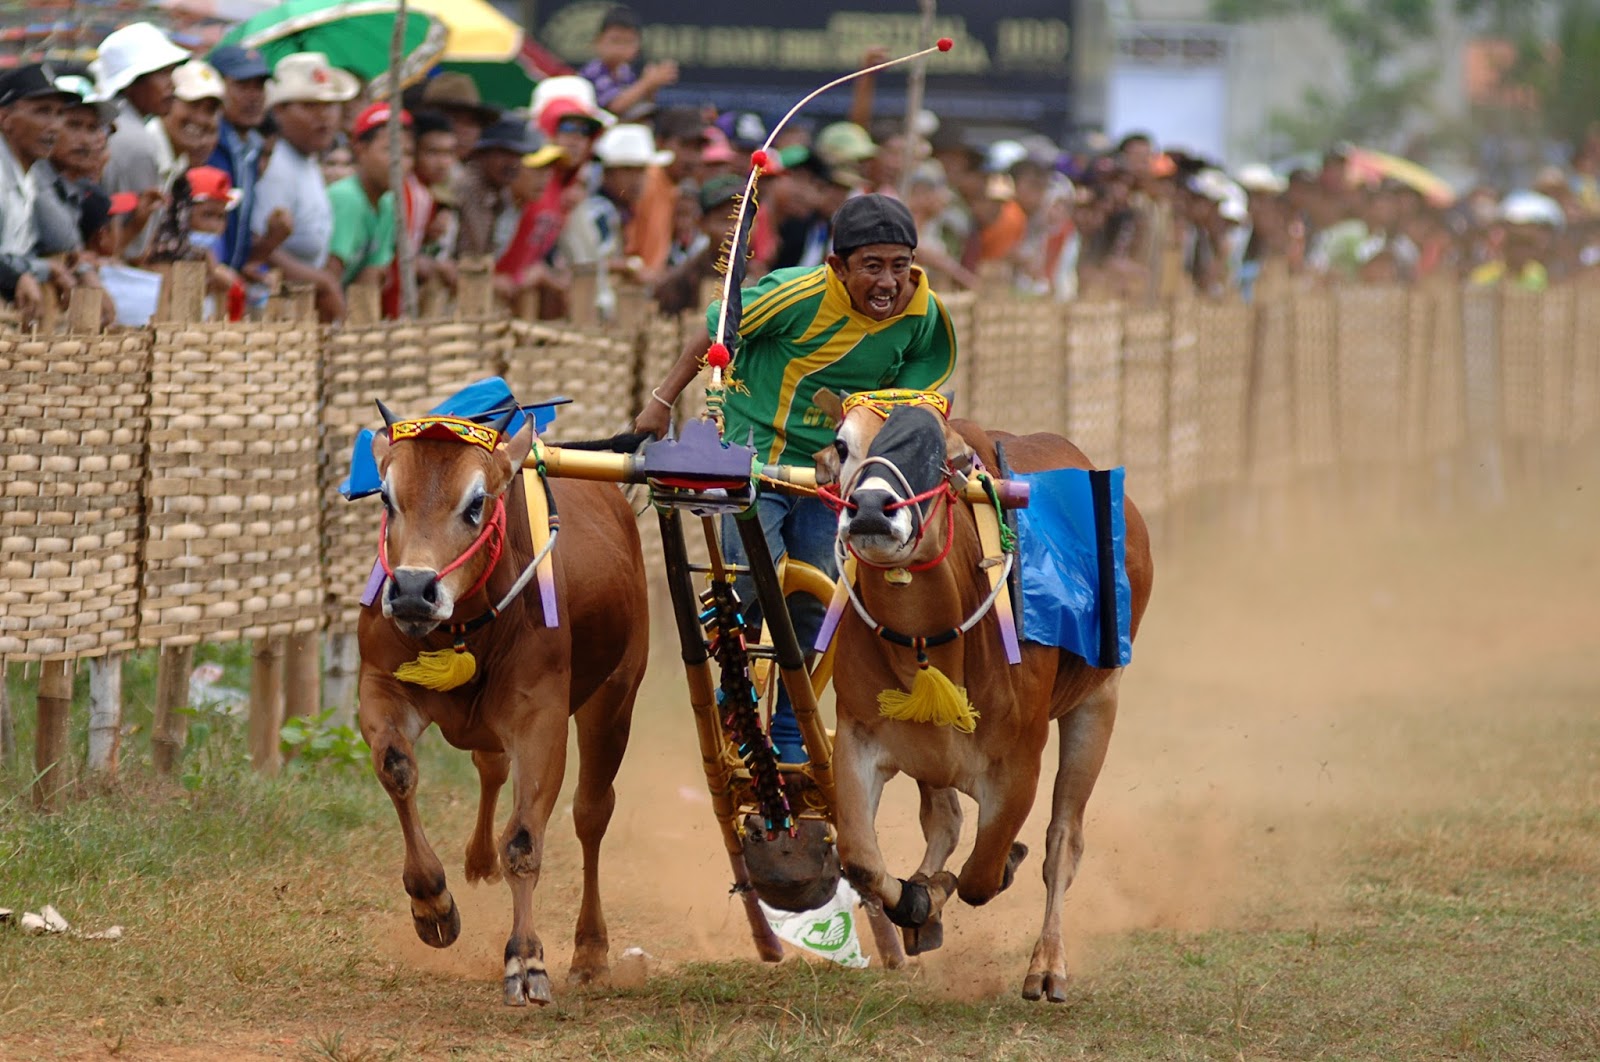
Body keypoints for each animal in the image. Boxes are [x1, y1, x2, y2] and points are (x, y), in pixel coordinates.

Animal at [360, 409, 646, 1010]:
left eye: (476, 504)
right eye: (388, 499)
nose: (413, 590)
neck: (466, 630)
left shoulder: (541, 720)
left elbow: (523, 839)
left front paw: (526, 958)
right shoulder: (378, 685)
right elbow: (397, 771)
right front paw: (433, 903)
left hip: (615, 700)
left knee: (591, 814)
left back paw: (590, 952)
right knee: (489, 769)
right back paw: (476, 862)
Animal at [825, 403, 1152, 998]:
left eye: (948, 454)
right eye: (843, 445)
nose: (871, 509)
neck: (931, 648)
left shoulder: (1020, 761)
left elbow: (984, 873)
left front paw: (990, 872)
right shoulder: (859, 736)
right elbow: (861, 859)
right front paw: (921, 897)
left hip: (1098, 703)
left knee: (1062, 843)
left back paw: (1047, 965)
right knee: (946, 821)